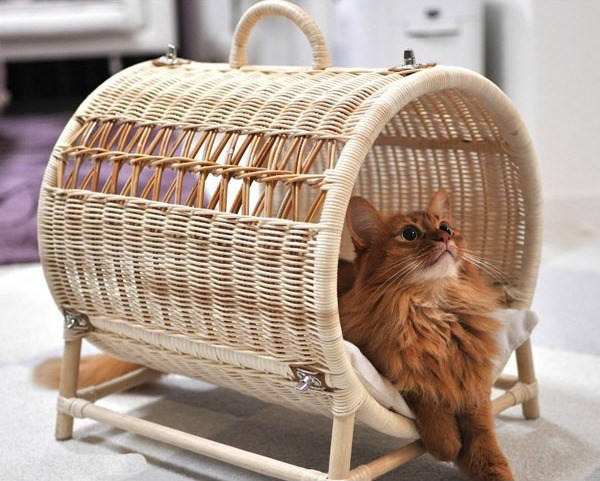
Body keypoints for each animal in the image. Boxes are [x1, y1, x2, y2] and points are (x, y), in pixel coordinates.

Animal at [339, 189, 513, 481]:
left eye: (446, 227)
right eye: (409, 233)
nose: (445, 238)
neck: (432, 310)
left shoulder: (472, 380)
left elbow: (485, 441)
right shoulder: (386, 365)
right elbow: (424, 394)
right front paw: (448, 442)